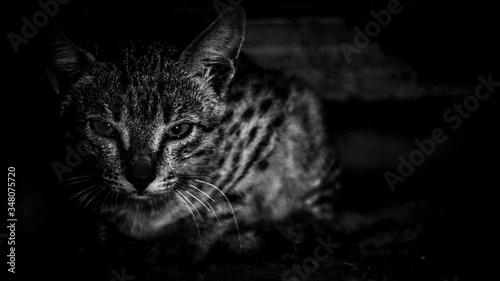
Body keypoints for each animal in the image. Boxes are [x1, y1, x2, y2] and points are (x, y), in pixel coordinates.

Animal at [45, 6, 340, 278]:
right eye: (104, 128)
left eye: (180, 130)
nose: (140, 179)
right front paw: (105, 238)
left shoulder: (268, 116)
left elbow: (225, 196)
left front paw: (181, 243)